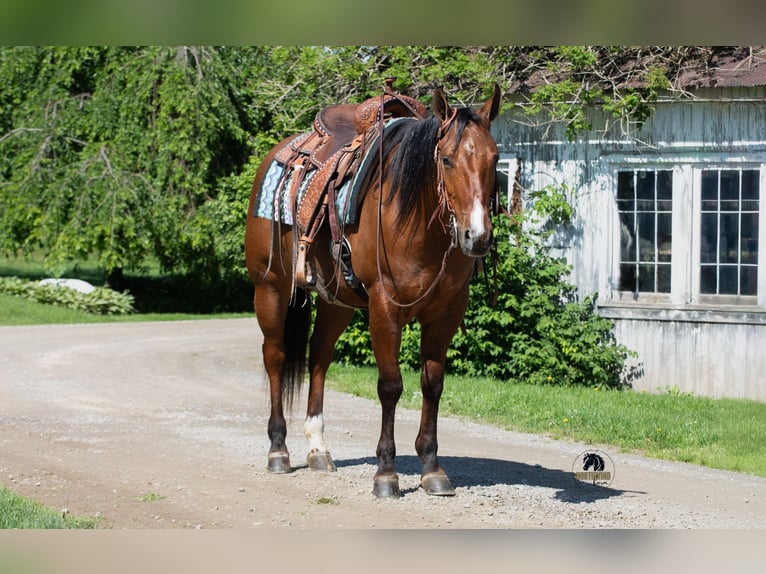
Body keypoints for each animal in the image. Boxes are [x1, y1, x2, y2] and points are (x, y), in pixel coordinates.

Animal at [244, 84, 501, 497]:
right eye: (446, 159)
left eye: (495, 159)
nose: (477, 237)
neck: (416, 219)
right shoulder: (384, 307)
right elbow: (390, 386)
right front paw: (386, 472)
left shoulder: (446, 313)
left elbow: (432, 385)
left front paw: (432, 467)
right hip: (269, 289)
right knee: (276, 357)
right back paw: (278, 450)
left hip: (337, 302)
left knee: (319, 358)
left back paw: (318, 449)